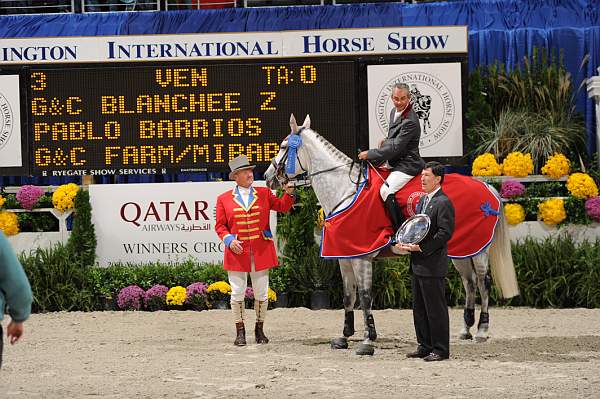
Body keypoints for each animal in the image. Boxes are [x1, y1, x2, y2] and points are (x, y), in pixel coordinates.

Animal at [264, 114, 516, 354]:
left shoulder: (361, 258)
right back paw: (465, 330)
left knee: (483, 282)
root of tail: (487, 187)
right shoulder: (344, 257)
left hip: (478, 249)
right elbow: (348, 297)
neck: (345, 191)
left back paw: (482, 330)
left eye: (284, 145)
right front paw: (344, 337)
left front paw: (368, 339)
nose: (267, 177)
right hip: (459, 250)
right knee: (469, 282)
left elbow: (365, 296)